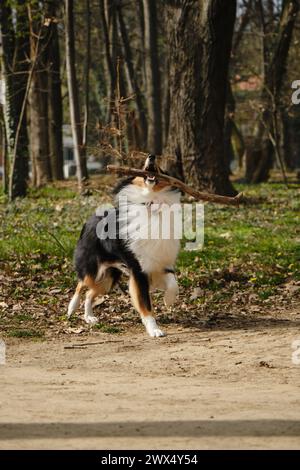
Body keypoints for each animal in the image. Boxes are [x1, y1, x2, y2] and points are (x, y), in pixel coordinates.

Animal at [67, 155, 180, 338]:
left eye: (161, 167)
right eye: (141, 163)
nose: (152, 156)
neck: (151, 200)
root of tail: (91, 218)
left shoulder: (162, 262)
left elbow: (173, 283)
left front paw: (168, 300)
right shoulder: (138, 270)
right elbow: (144, 303)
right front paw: (154, 329)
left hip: (108, 277)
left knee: (90, 292)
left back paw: (89, 317)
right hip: (93, 268)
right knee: (81, 283)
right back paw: (71, 308)